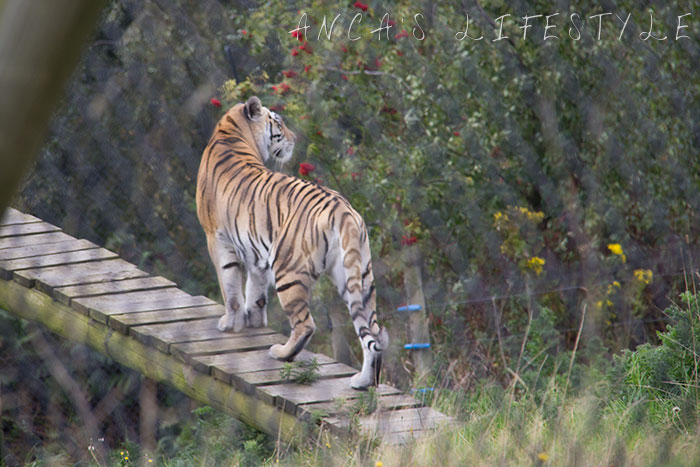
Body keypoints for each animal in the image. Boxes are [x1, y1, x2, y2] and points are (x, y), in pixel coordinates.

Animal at [196, 96, 388, 392]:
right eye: (279, 123)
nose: (294, 138)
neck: (230, 131)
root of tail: (343, 208)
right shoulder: (254, 250)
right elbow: (255, 289)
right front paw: (253, 321)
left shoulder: (217, 240)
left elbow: (230, 287)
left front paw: (231, 325)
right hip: (358, 277)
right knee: (372, 332)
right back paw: (363, 381)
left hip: (288, 271)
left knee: (306, 325)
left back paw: (281, 353)